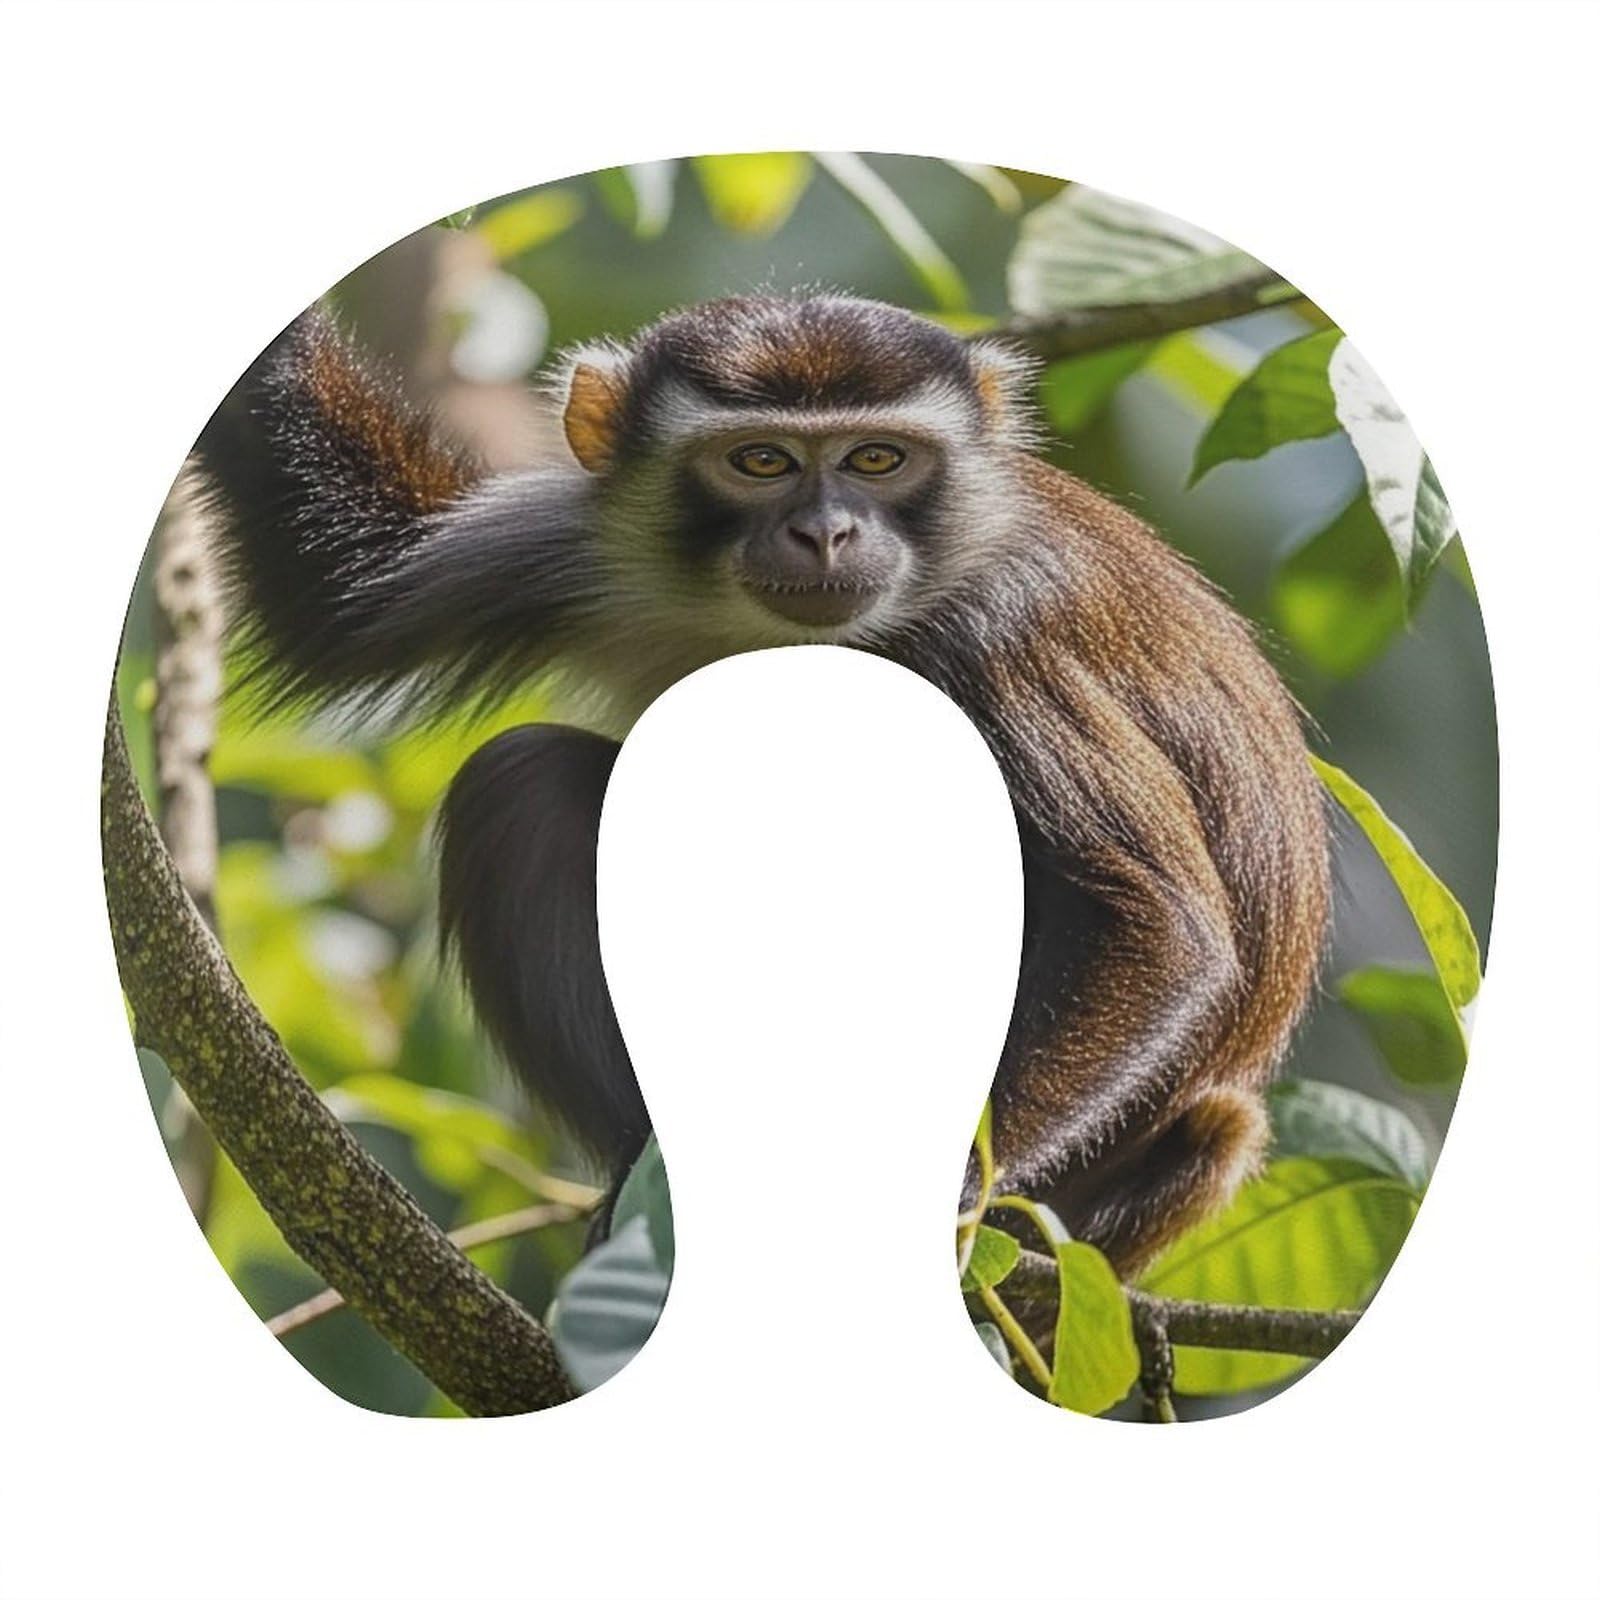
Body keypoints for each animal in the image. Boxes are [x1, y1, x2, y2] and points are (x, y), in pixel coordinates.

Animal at [190, 291, 1330, 1277]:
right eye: (761, 460)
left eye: (876, 458)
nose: (826, 532)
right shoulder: (575, 536)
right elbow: (342, 588)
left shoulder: (992, 627)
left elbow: (1151, 924)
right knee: (522, 783)